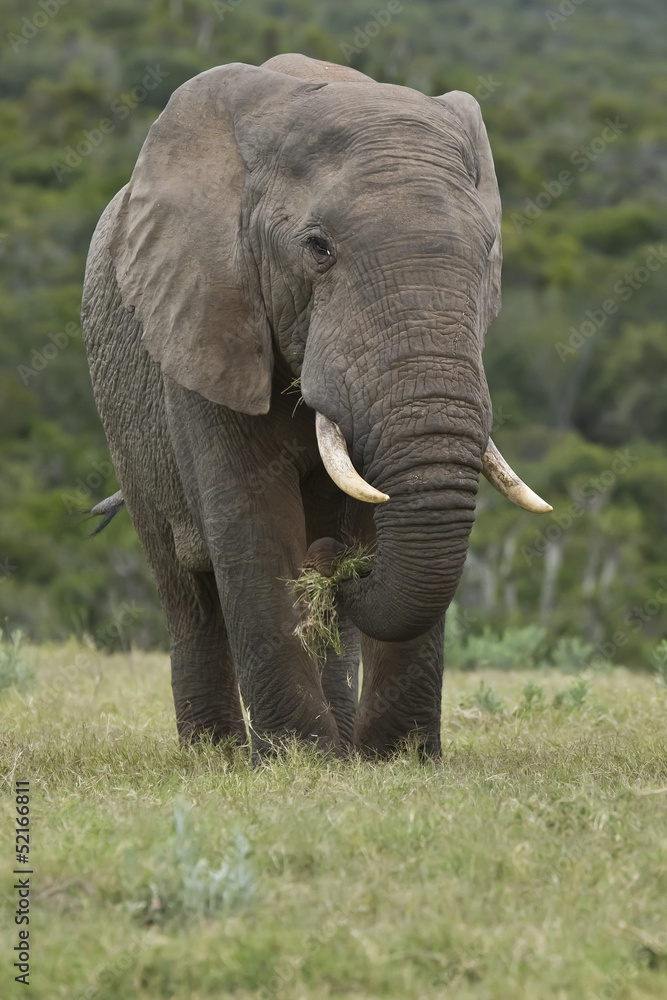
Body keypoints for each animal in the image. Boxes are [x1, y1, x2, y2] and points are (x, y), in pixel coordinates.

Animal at [82, 53, 550, 759]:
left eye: (487, 251)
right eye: (317, 248)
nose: (340, 565)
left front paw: (397, 760)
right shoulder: (206, 317)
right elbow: (252, 519)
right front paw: (297, 756)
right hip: (123, 411)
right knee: (183, 586)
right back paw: (215, 755)